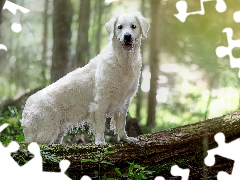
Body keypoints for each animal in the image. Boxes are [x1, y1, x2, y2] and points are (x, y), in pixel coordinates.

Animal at [20, 14, 149, 146]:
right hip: (48, 129)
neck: (123, 61)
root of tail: (26, 109)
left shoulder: (123, 102)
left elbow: (121, 124)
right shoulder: (100, 102)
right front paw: (100, 141)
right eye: (120, 27)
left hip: (60, 128)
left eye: (133, 26)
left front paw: (125, 138)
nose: (127, 36)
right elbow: (101, 125)